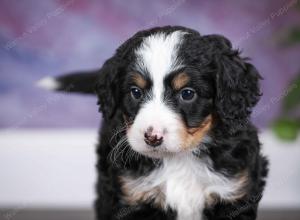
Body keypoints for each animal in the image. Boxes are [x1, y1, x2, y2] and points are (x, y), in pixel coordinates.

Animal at [39, 26, 268, 220]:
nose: (152, 137)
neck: (180, 160)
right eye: (135, 92)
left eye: (187, 93)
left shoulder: (234, 193)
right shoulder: (133, 195)